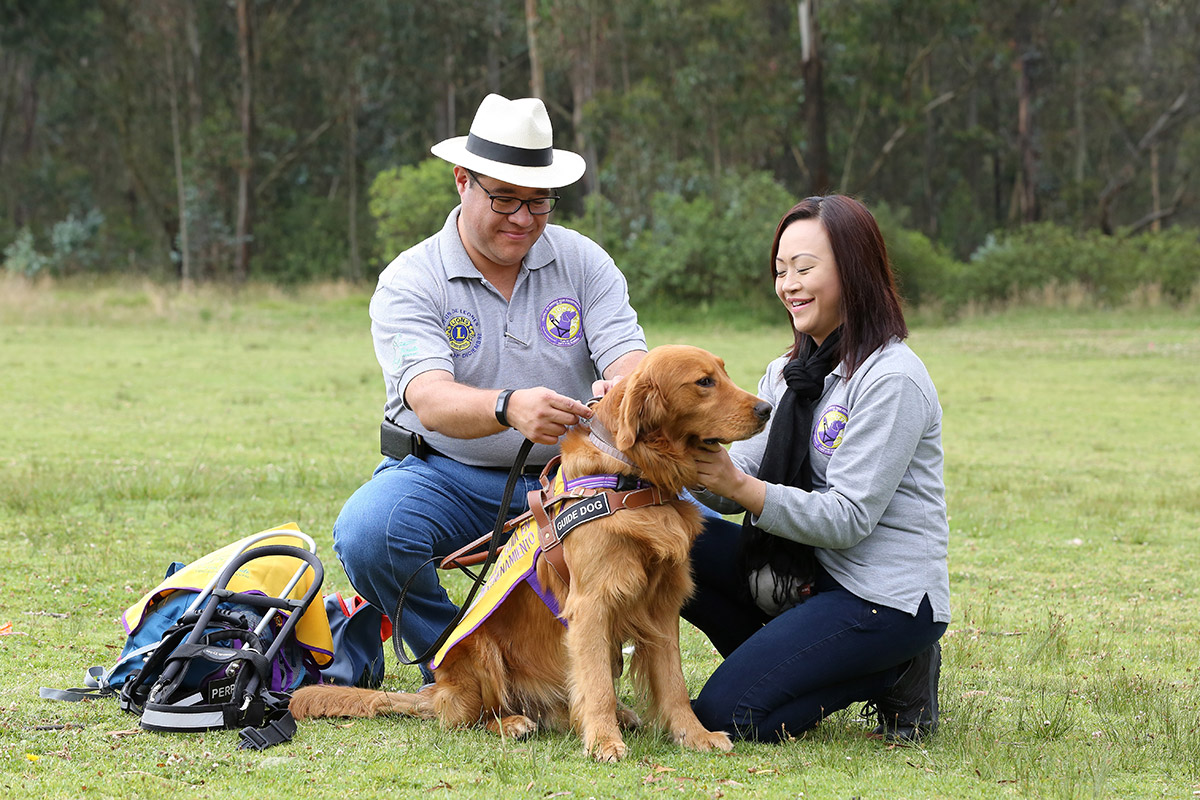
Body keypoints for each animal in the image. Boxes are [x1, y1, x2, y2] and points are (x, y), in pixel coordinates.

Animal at [295, 345, 772, 762]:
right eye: (704, 382)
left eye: (724, 372)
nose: (767, 409)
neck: (632, 480)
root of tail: (435, 691)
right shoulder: (591, 604)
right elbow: (597, 686)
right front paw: (604, 742)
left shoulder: (662, 605)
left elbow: (672, 684)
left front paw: (693, 736)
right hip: (480, 652)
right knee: (471, 717)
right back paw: (513, 723)